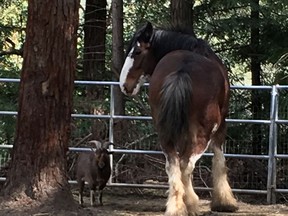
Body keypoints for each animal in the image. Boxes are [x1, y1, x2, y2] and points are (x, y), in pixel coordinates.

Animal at [118, 22, 237, 216]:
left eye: (137, 52)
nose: (124, 85)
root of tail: (182, 70)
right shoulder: (221, 125)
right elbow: (219, 159)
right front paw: (224, 201)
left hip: (164, 130)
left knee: (173, 163)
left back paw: (176, 207)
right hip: (205, 132)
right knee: (186, 164)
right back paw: (191, 204)